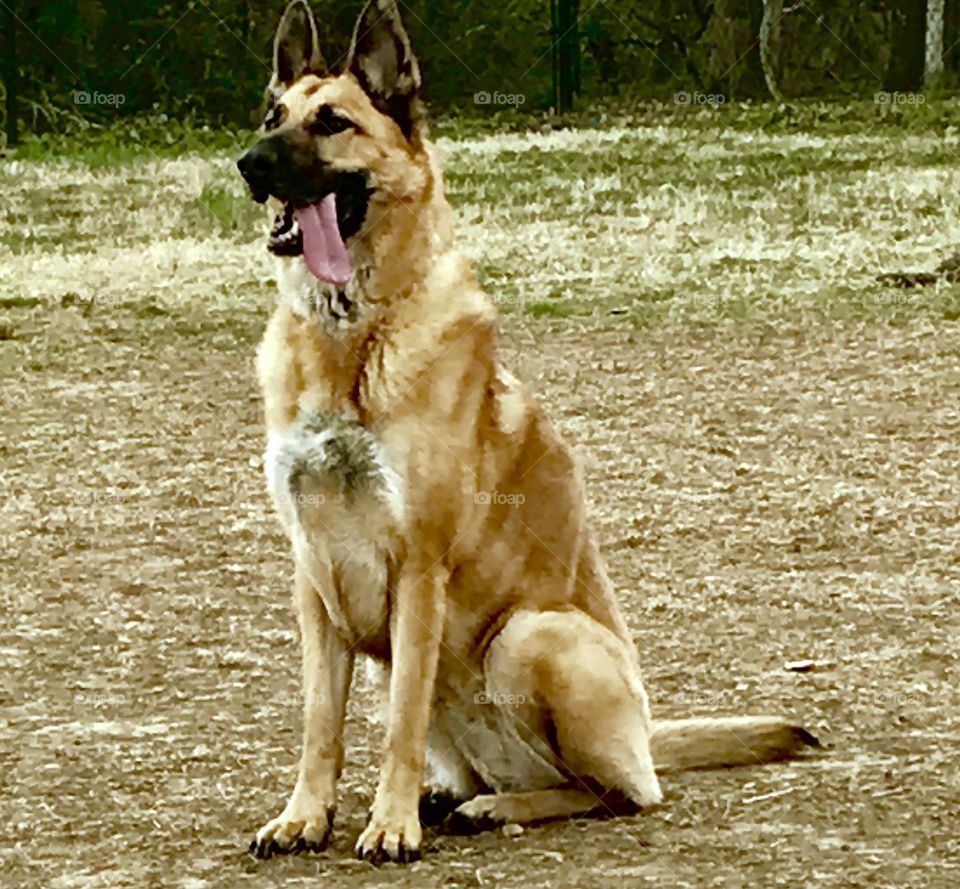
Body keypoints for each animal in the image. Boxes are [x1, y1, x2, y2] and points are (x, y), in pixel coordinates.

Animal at [236, 0, 812, 864]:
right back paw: (456, 795)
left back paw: (494, 806)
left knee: (619, 793)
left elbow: (400, 724)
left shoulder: (420, 567)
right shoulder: (314, 573)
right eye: (273, 116)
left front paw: (389, 823)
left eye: (333, 122)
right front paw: (305, 814)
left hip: (531, 635)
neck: (356, 333)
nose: (248, 165)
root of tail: (648, 734)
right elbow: (318, 723)